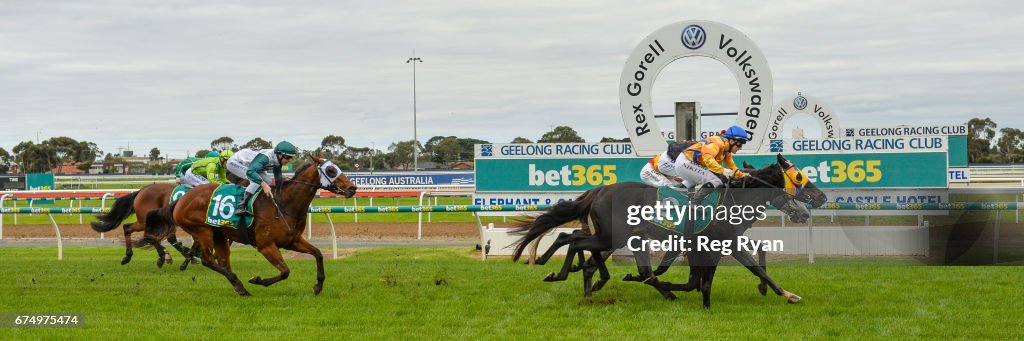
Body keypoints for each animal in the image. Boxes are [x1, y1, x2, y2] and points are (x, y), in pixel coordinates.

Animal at [140, 153, 356, 294]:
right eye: (331, 170)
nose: (353, 188)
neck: (283, 203)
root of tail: (180, 200)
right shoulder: (265, 245)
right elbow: (285, 271)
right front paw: (258, 280)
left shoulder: (292, 241)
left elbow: (318, 254)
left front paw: (318, 285)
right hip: (203, 231)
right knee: (208, 260)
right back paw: (237, 282)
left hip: (219, 235)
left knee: (222, 261)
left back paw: (237, 285)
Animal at [507, 153, 827, 307]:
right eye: (800, 177)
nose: (821, 198)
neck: (733, 197)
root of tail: (600, 190)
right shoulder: (716, 243)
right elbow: (750, 268)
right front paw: (788, 294)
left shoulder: (717, 243)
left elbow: (753, 262)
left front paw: (778, 292)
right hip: (613, 236)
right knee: (575, 242)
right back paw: (560, 272)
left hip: (614, 236)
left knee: (570, 237)